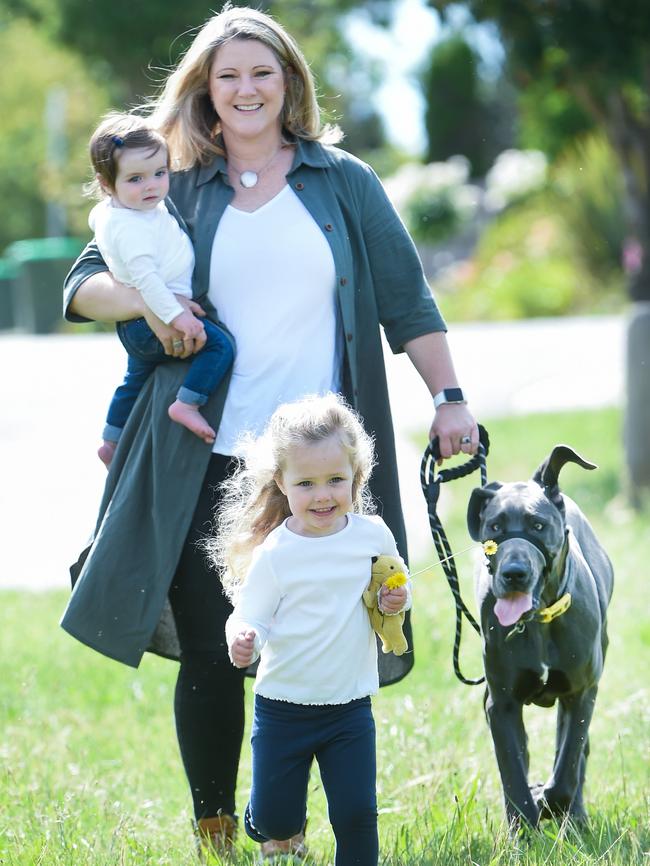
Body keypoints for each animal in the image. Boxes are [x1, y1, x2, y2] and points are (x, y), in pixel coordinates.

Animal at [466, 446, 612, 824]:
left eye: (537, 525)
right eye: (495, 526)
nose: (514, 573)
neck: (539, 621)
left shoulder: (580, 693)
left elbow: (567, 768)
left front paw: (549, 800)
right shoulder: (501, 704)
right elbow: (513, 773)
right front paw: (522, 824)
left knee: (576, 756)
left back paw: (576, 818)